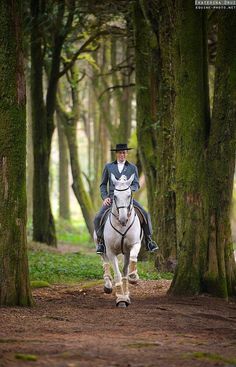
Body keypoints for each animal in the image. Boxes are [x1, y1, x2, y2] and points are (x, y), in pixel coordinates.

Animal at [96, 174, 141, 310]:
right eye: (115, 196)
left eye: (129, 195)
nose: (123, 219)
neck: (121, 226)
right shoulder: (111, 251)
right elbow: (117, 275)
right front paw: (120, 299)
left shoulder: (134, 245)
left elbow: (132, 260)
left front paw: (133, 277)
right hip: (101, 247)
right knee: (105, 262)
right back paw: (108, 285)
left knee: (124, 269)